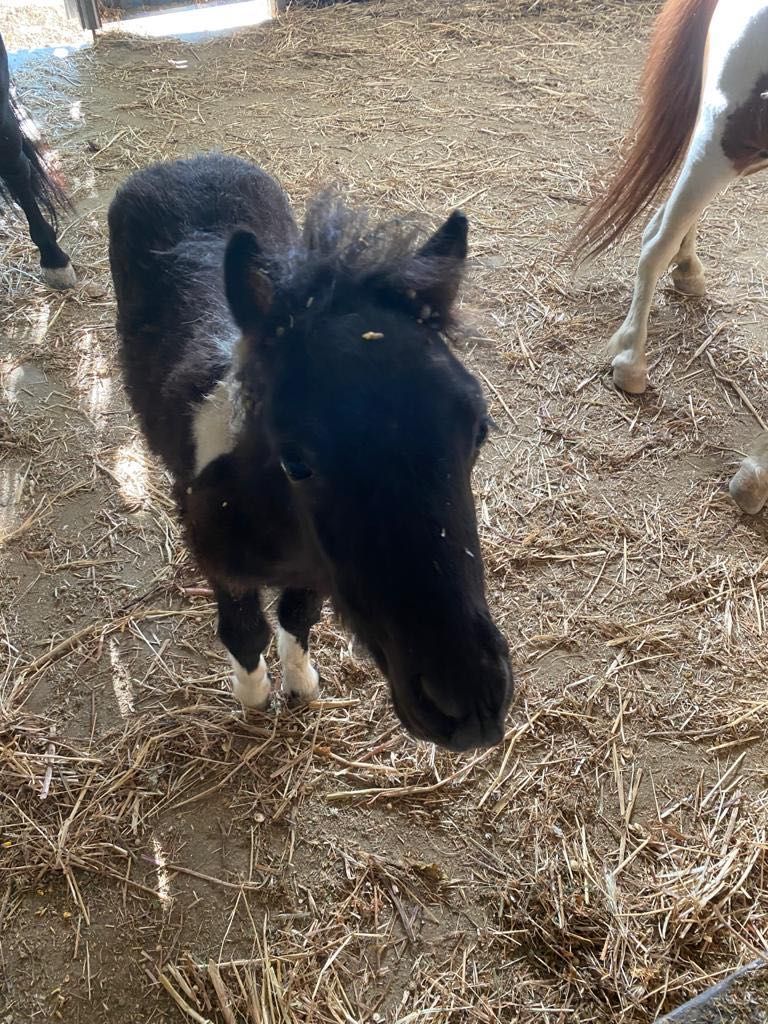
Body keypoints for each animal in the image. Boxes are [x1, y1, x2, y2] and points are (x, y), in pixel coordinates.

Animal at [108, 153, 514, 753]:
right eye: (296, 460)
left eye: (479, 430)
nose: (468, 703)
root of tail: (185, 161)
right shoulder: (218, 557)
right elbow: (244, 629)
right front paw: (254, 697)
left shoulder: (318, 571)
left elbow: (298, 615)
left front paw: (300, 685)